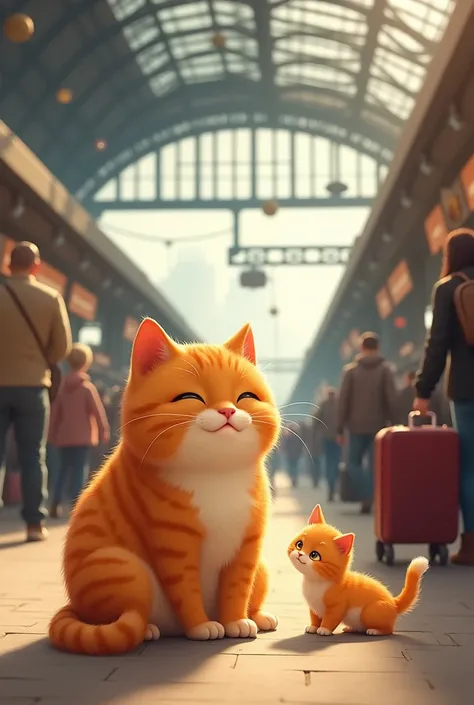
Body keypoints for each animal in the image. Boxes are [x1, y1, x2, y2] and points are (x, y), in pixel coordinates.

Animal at [49, 320, 282, 656]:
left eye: (245, 396)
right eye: (191, 397)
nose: (227, 411)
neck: (216, 475)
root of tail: (75, 606)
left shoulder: (248, 547)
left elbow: (237, 589)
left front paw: (236, 622)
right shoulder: (174, 544)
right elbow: (186, 591)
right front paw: (202, 627)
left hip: (261, 568)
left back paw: (260, 617)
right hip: (120, 565)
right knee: (124, 613)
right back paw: (147, 629)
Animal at [288, 504, 430, 636]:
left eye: (314, 555)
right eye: (299, 544)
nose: (300, 554)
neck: (315, 582)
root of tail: (394, 603)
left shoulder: (337, 606)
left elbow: (331, 619)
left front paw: (324, 629)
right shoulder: (313, 607)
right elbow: (315, 618)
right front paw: (313, 627)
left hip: (369, 612)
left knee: (389, 629)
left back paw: (375, 631)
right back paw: (352, 628)